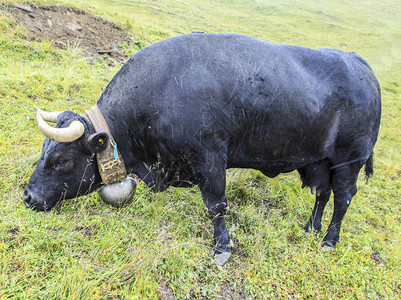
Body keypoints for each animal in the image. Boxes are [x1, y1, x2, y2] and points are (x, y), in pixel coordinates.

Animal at [23, 34, 380, 264]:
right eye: (44, 151)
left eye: (61, 161)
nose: (27, 197)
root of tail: (360, 64)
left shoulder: (210, 161)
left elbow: (216, 205)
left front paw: (222, 248)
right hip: (318, 161)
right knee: (322, 193)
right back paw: (310, 228)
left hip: (349, 161)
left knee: (343, 198)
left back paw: (329, 240)